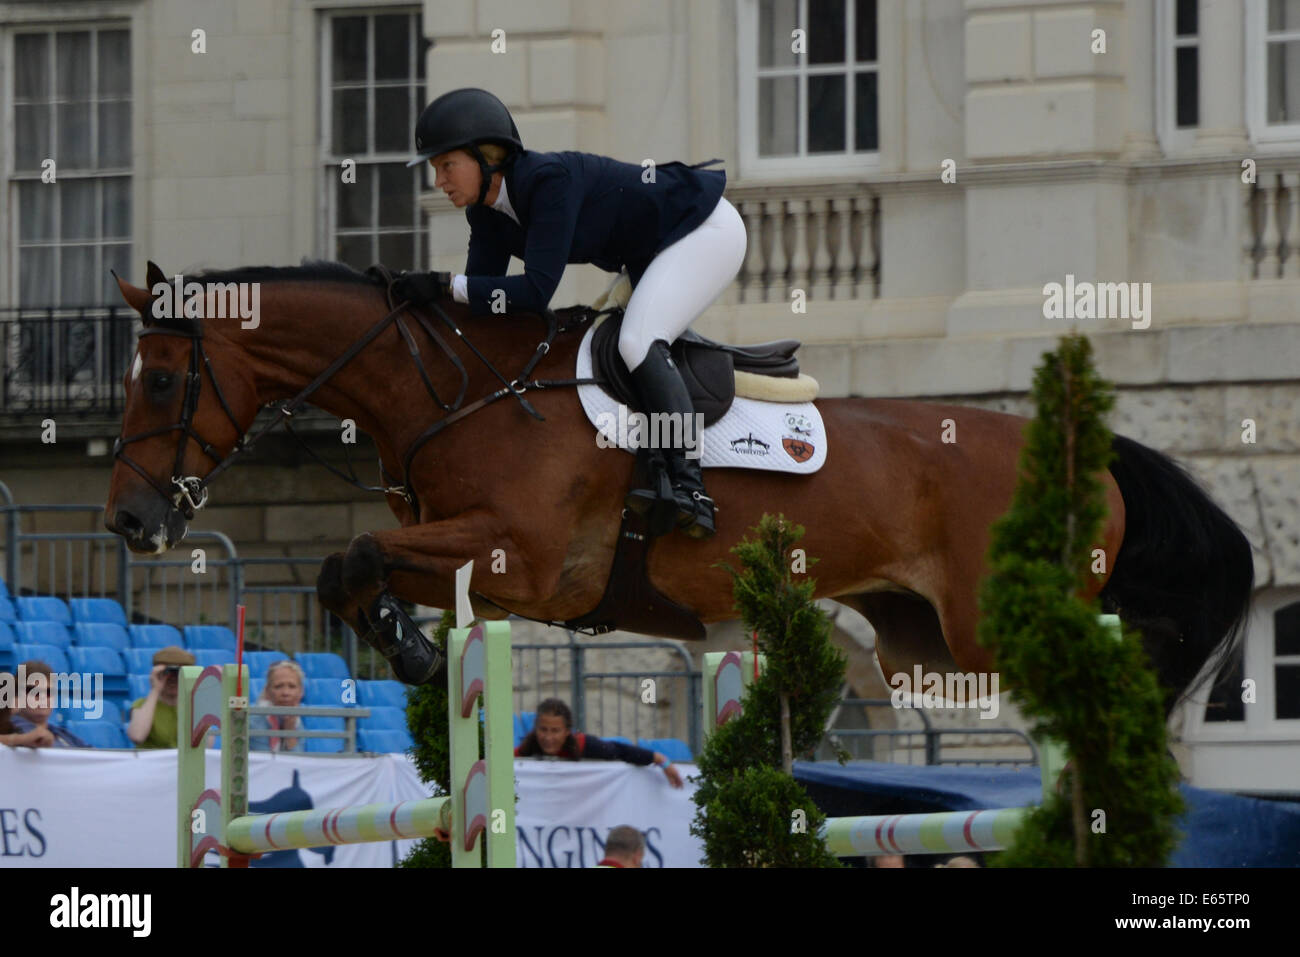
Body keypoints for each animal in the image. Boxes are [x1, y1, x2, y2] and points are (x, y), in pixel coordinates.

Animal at [106, 257, 1253, 712]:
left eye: (160, 378)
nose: (127, 521)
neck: (465, 390)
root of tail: (1088, 446)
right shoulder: (488, 567)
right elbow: (351, 566)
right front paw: (414, 648)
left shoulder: (524, 559)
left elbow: (350, 553)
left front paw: (412, 651)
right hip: (924, 643)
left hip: (995, 627)